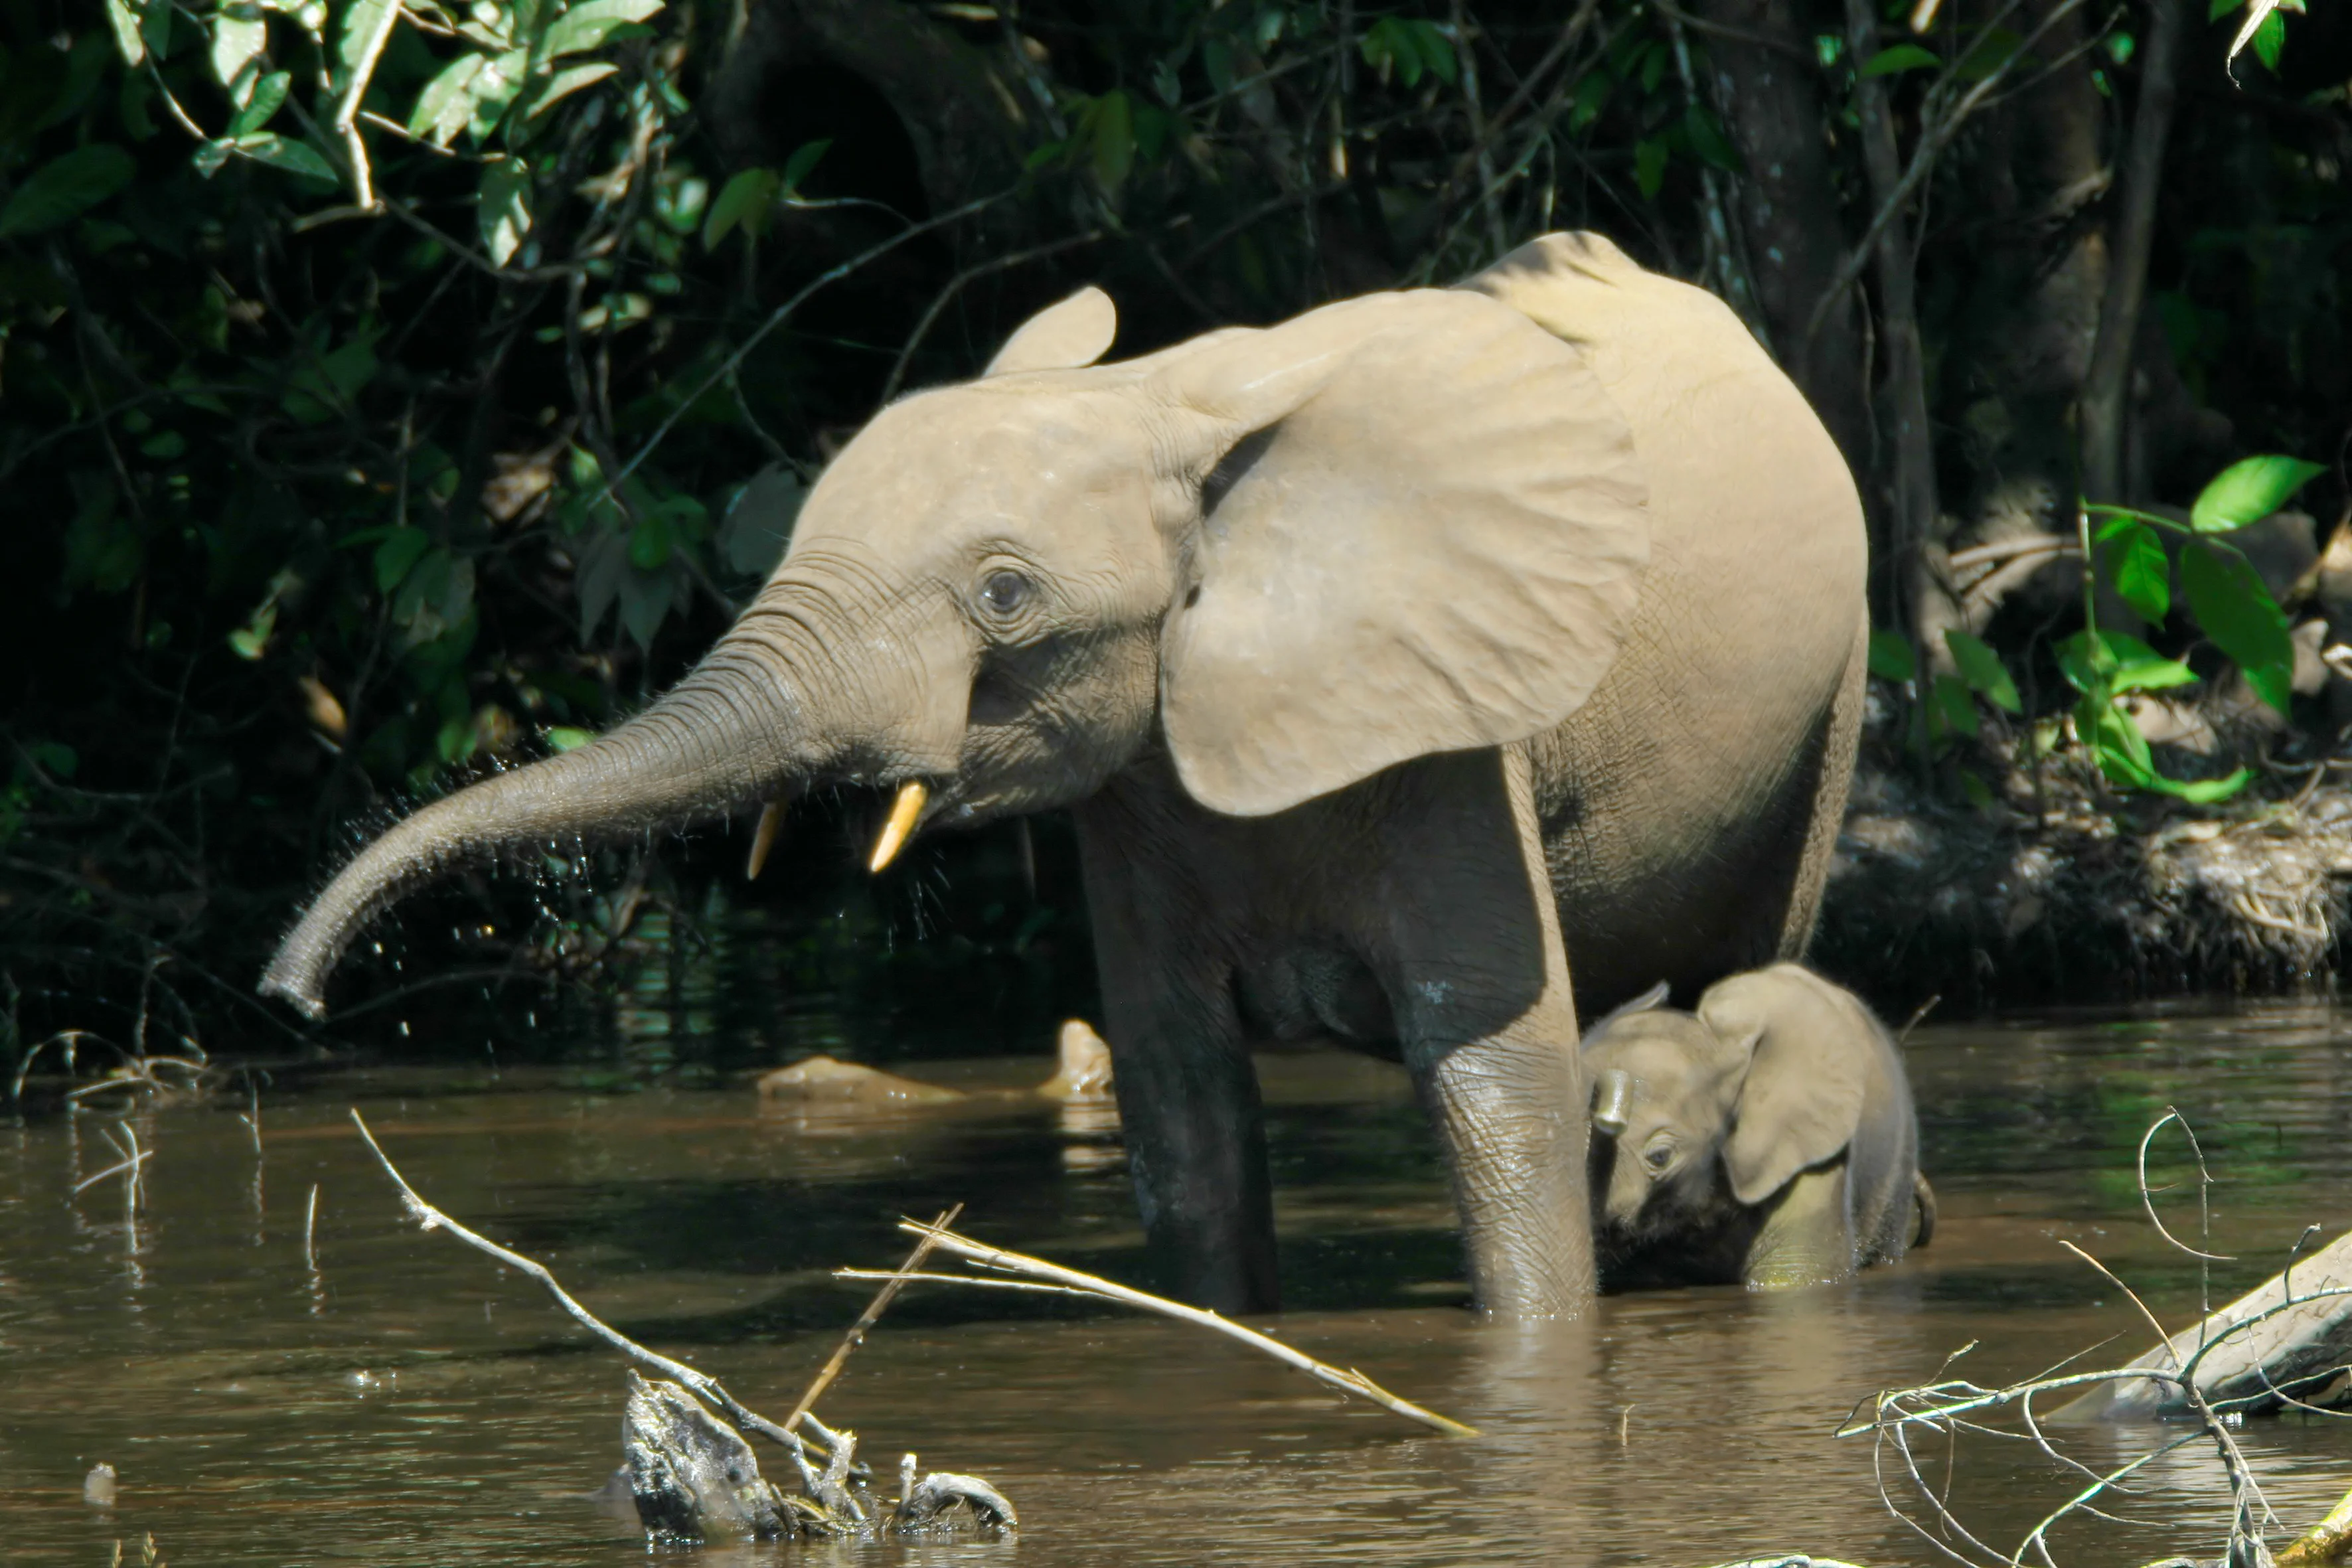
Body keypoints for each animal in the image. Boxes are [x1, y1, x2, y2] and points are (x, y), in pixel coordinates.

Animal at [267, 236, 1863, 1326]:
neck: (1162, 405)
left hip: (1830, 703)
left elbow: (1491, 1080)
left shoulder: (1454, 733)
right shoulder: (1141, 788)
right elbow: (1181, 1104)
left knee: (1741, 970)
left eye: (1004, 595)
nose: (291, 997)